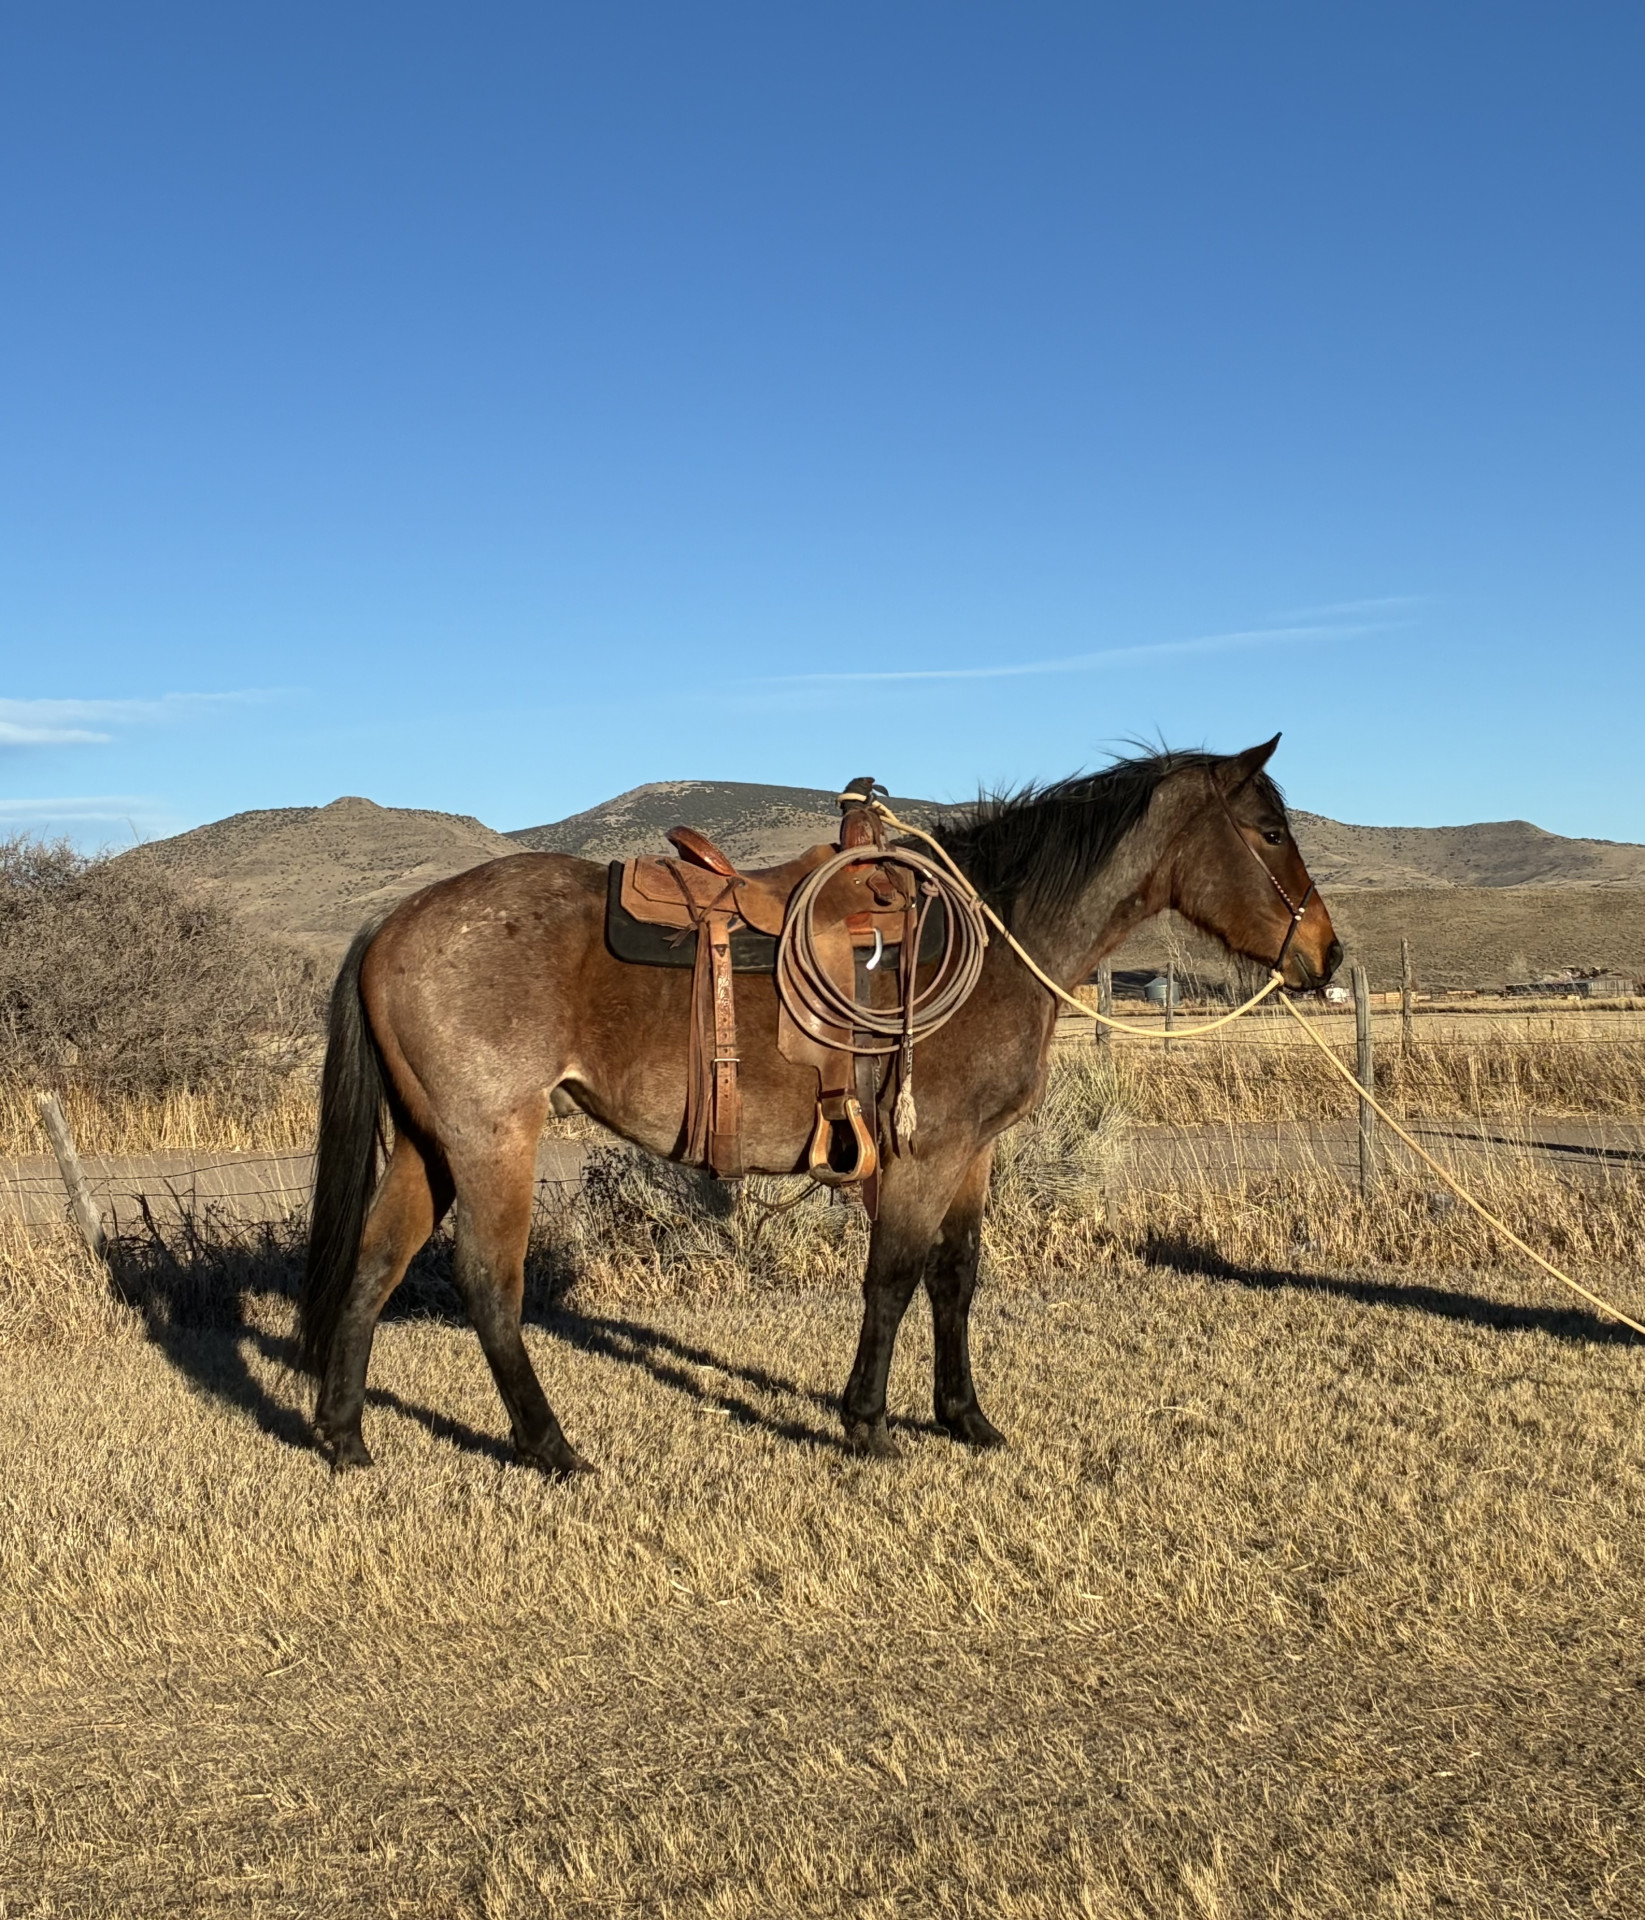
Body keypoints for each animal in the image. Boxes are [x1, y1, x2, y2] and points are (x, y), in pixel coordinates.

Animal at [298, 735, 1340, 1473]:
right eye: (1271, 832)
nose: (1324, 954)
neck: (992, 938)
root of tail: (391, 924)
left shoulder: (972, 1154)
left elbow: (955, 1279)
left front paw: (965, 1418)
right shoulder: (923, 1155)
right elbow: (891, 1281)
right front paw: (868, 1425)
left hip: (429, 1144)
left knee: (375, 1265)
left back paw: (345, 1438)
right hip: (492, 1139)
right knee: (488, 1283)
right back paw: (549, 1446)